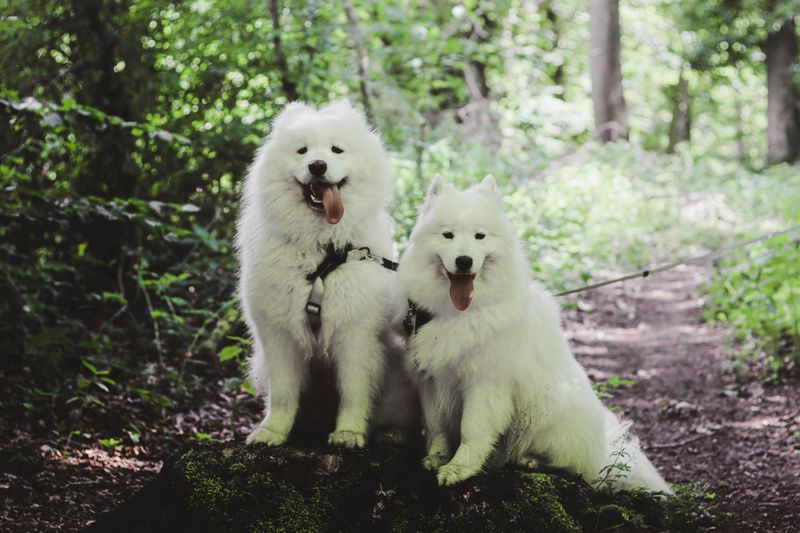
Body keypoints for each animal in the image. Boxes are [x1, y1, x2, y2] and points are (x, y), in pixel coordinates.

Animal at [237, 100, 416, 449]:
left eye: (336, 150)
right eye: (302, 150)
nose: (317, 165)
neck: (322, 251)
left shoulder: (355, 334)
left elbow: (354, 391)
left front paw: (348, 433)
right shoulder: (279, 335)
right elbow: (283, 393)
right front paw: (272, 432)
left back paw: (391, 433)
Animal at [397, 174, 670, 493]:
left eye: (480, 236)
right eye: (448, 235)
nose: (464, 261)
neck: (457, 312)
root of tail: (602, 451)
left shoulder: (485, 384)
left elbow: (472, 431)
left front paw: (460, 468)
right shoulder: (430, 381)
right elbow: (436, 428)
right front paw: (436, 459)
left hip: (551, 418)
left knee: (573, 466)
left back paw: (531, 460)